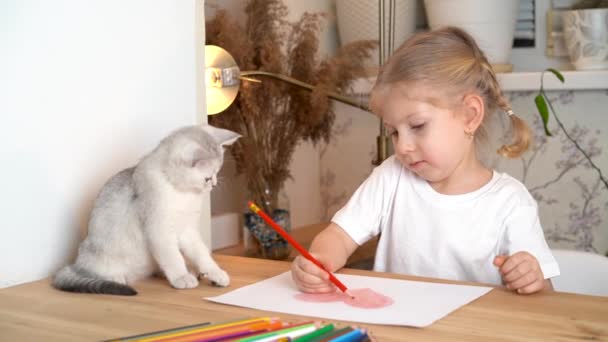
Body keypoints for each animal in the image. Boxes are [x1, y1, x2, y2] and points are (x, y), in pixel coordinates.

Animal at [52, 124, 240, 296]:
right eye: (207, 178)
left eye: (217, 173)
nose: (214, 184)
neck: (181, 193)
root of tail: (75, 263)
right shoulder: (159, 230)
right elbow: (173, 257)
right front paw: (181, 277)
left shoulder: (188, 230)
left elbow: (202, 254)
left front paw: (215, 273)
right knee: (95, 273)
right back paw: (117, 278)